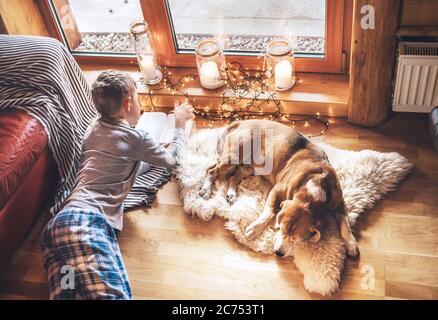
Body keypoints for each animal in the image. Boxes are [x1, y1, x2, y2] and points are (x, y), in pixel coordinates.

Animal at [198, 120, 360, 258]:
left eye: (296, 238)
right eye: (280, 228)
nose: (278, 253)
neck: (315, 187)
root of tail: (243, 122)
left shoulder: (339, 202)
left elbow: (345, 223)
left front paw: (351, 243)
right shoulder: (276, 191)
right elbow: (269, 212)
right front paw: (254, 229)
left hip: (249, 167)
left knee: (234, 176)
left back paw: (231, 193)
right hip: (234, 156)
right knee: (211, 171)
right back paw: (206, 189)